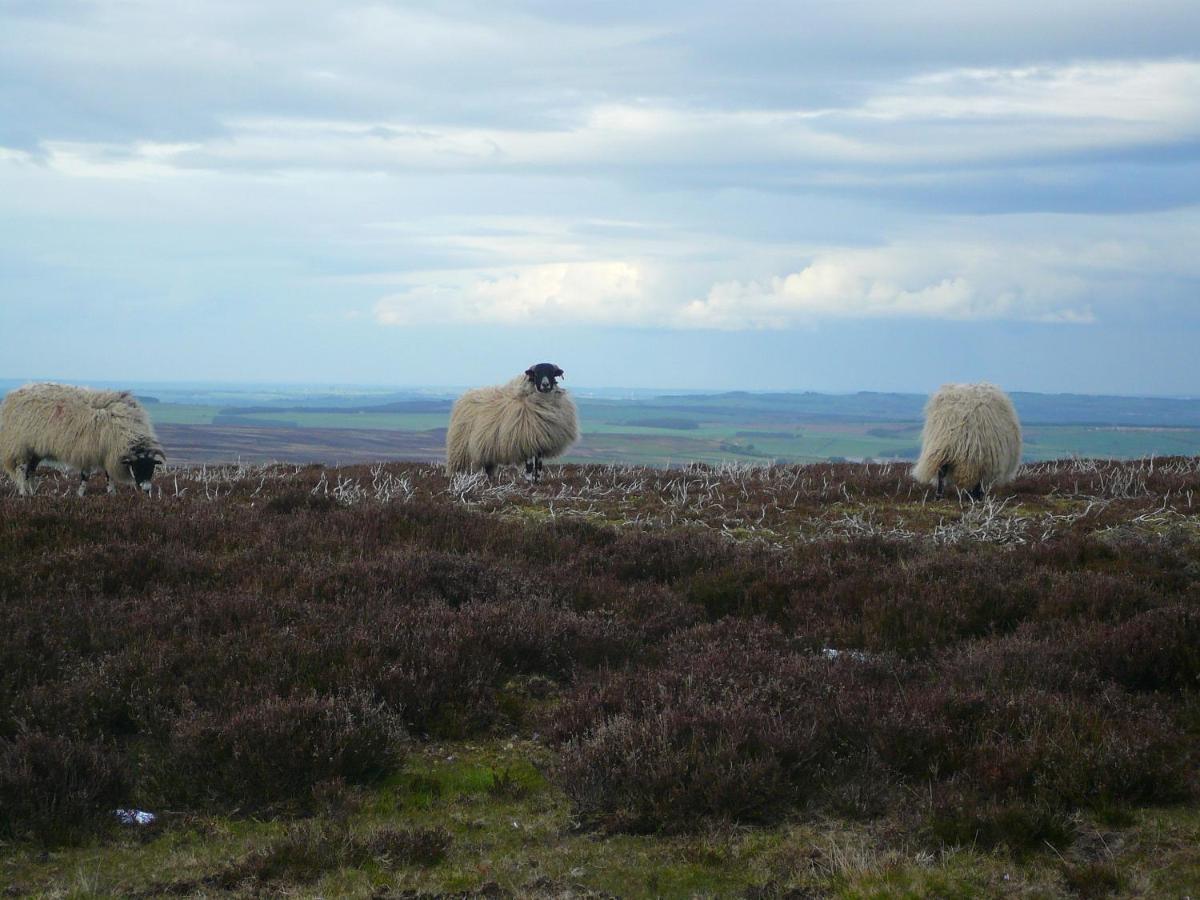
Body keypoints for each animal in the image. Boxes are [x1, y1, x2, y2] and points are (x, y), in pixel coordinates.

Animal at [0, 381, 165, 501]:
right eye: (137, 467)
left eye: (152, 467)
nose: (147, 490)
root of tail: (12, 395)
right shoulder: (88, 451)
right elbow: (85, 476)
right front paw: (80, 495)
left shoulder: (107, 453)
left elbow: (109, 476)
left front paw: (112, 494)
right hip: (20, 446)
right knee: (22, 470)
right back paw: (23, 493)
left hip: (35, 450)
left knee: (31, 471)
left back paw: (33, 492)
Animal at [448, 362, 583, 482]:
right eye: (536, 373)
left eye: (552, 373)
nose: (545, 384)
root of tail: (465, 396)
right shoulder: (526, 441)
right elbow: (529, 466)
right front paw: (529, 483)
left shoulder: (540, 442)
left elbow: (539, 466)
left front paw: (538, 482)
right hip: (462, 451)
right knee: (463, 469)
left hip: (487, 448)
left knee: (489, 468)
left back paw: (491, 482)